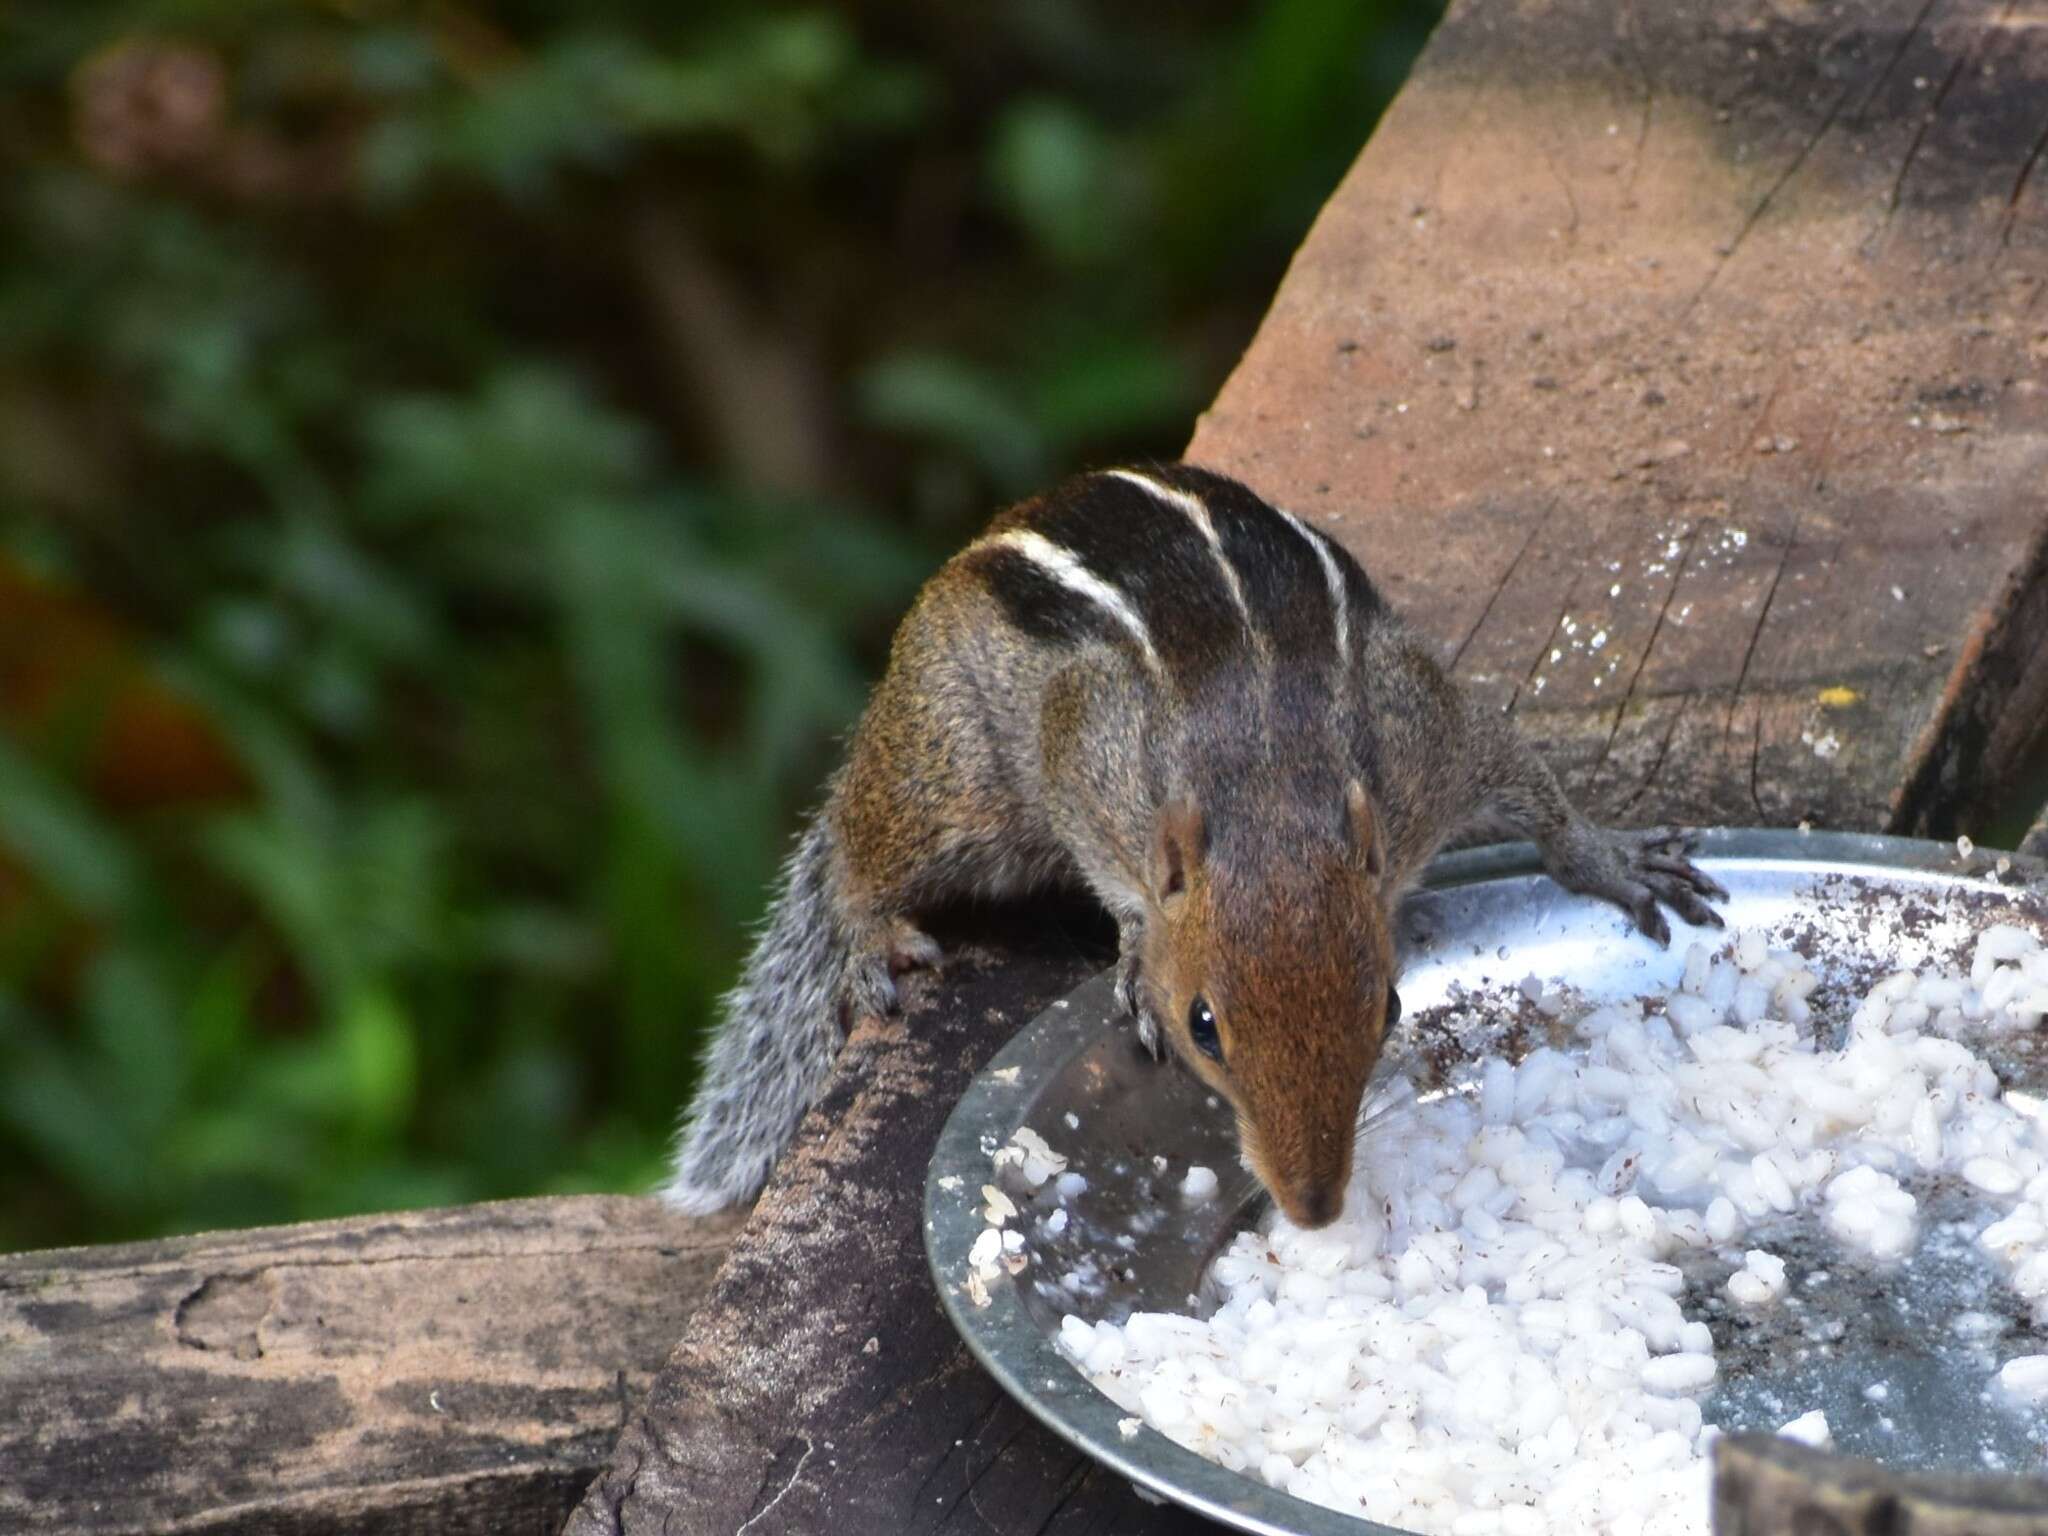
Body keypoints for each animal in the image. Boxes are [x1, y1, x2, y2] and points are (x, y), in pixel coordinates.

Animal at [663, 462, 1720, 1236]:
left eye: (1389, 1006)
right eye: (1202, 1027)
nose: (1313, 1208)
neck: (1266, 772)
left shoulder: (1426, 742)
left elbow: (1527, 783)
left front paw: (1615, 859)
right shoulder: (1086, 749)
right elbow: (1113, 862)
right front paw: (1136, 954)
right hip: (952, 769)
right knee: (861, 841)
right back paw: (870, 929)